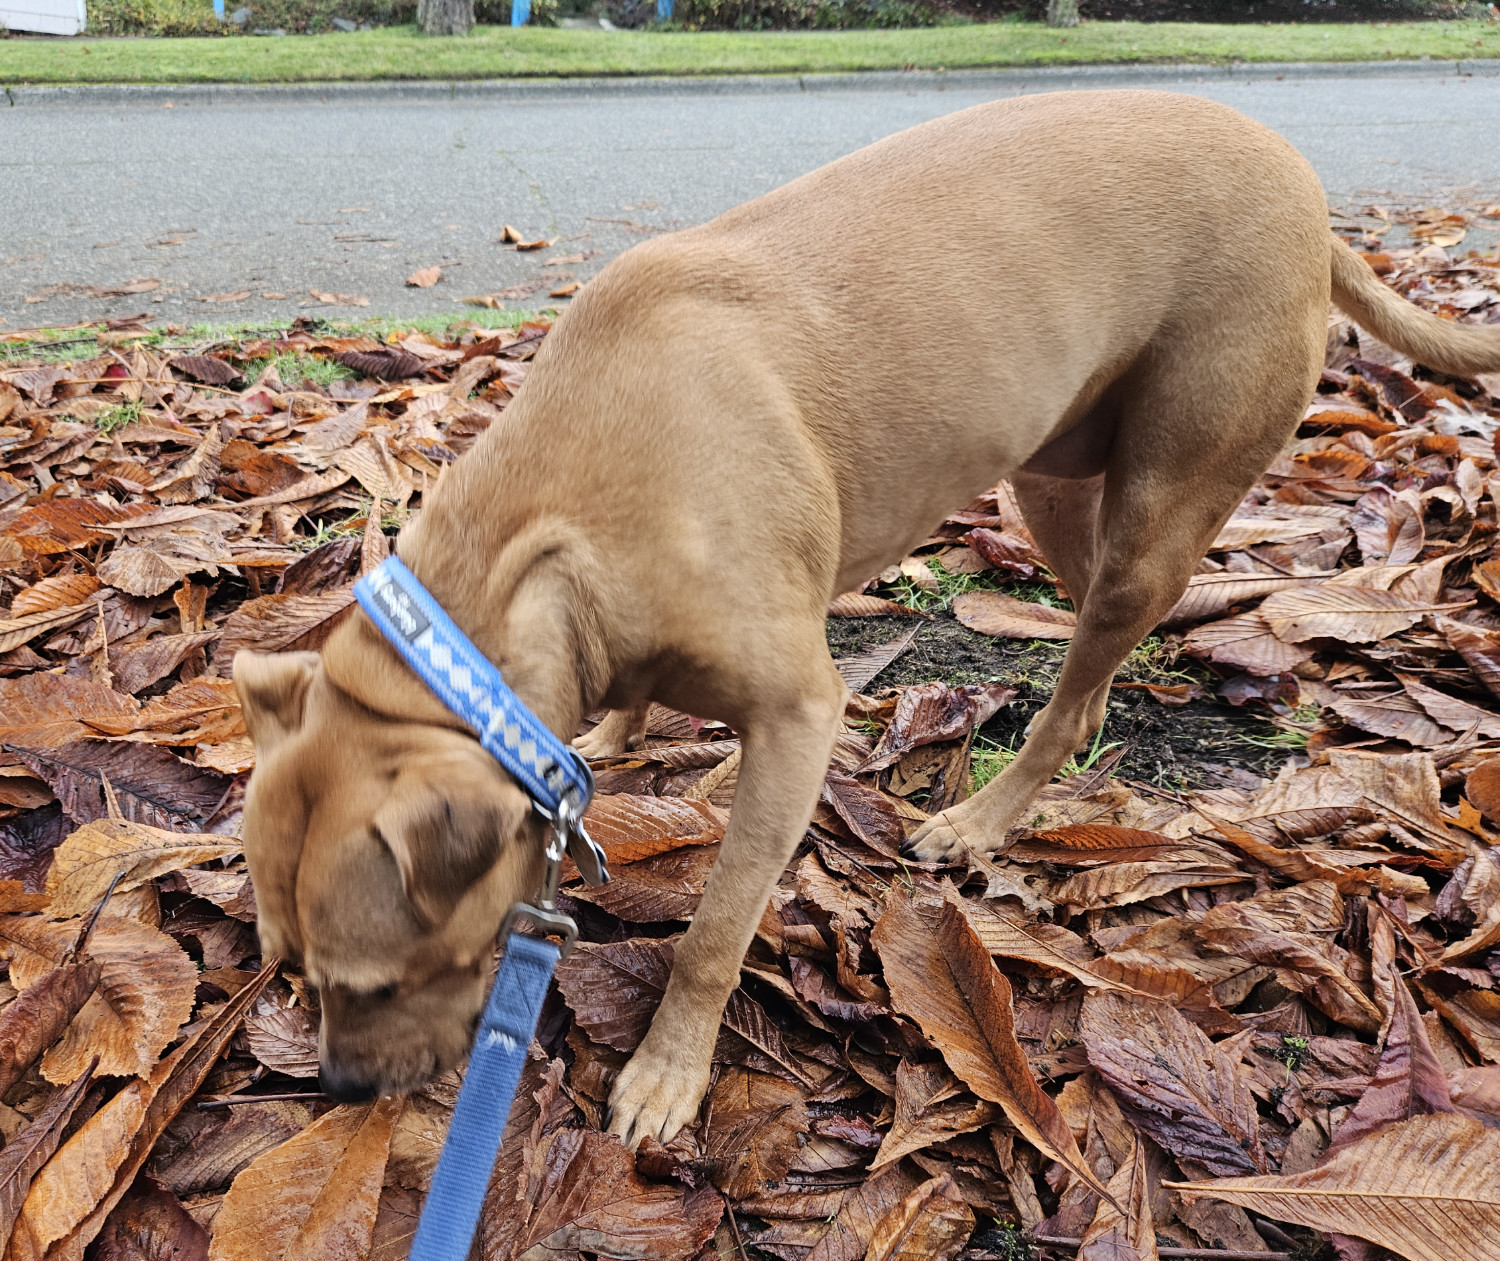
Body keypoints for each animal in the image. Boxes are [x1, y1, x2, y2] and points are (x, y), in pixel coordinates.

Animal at [234, 88, 1500, 1145]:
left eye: (374, 981)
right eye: (283, 964)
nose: (337, 1088)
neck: (545, 532)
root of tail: (1315, 204)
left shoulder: (799, 722)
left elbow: (716, 932)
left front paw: (667, 1073)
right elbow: (626, 704)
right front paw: (618, 733)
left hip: (1162, 495)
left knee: (1084, 669)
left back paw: (985, 818)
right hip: (1052, 483)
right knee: (1097, 644)